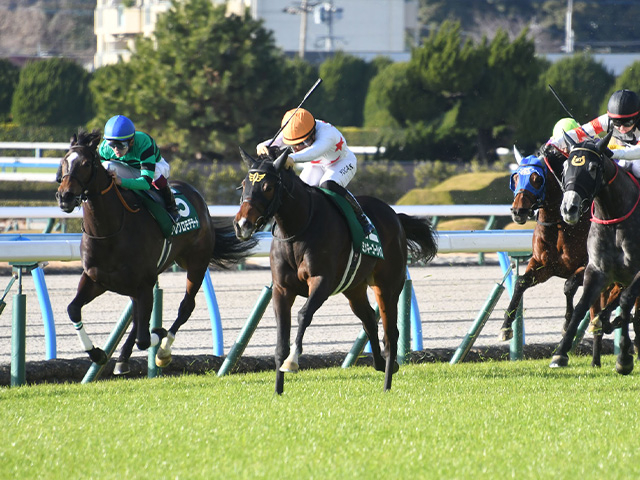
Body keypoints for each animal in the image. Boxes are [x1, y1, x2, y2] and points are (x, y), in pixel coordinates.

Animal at [55, 129, 255, 374]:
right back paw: (123, 358)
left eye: (85, 163)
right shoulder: (96, 278)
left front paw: (158, 334)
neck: (110, 231)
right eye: (63, 162)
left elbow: (144, 337)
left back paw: (163, 350)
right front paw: (97, 353)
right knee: (137, 316)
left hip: (196, 264)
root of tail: (197, 196)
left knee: (185, 307)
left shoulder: (143, 283)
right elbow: (74, 309)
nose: (64, 196)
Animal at [232, 149, 438, 394]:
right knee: (369, 320)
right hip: (354, 289)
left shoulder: (322, 281)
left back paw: (387, 382)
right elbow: (281, 341)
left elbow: (304, 315)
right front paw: (278, 390)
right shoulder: (282, 289)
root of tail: (395, 216)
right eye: (244, 184)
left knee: (391, 334)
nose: (242, 224)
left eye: (268, 187)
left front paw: (292, 362)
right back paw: (380, 364)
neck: (298, 228)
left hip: (387, 286)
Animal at [556, 132, 640, 376]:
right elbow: (581, 306)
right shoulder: (597, 270)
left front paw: (624, 357)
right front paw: (561, 352)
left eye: (593, 167)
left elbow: (626, 300)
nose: (569, 209)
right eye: (565, 166)